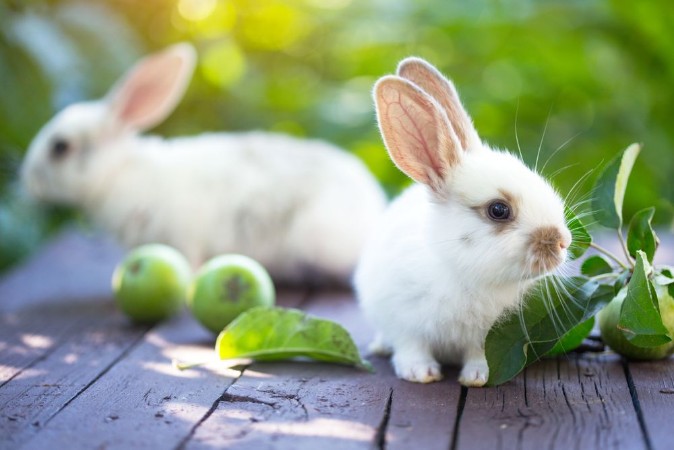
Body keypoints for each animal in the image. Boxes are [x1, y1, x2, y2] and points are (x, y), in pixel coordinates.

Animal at [20, 43, 387, 286]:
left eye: (60, 148)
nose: (28, 184)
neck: (117, 175)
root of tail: (373, 206)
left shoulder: (183, 237)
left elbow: (190, 264)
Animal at [353, 57, 572, 387]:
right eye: (498, 210)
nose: (562, 242)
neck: (463, 272)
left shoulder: (486, 335)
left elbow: (478, 354)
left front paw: (478, 377)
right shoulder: (402, 320)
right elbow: (412, 347)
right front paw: (420, 374)